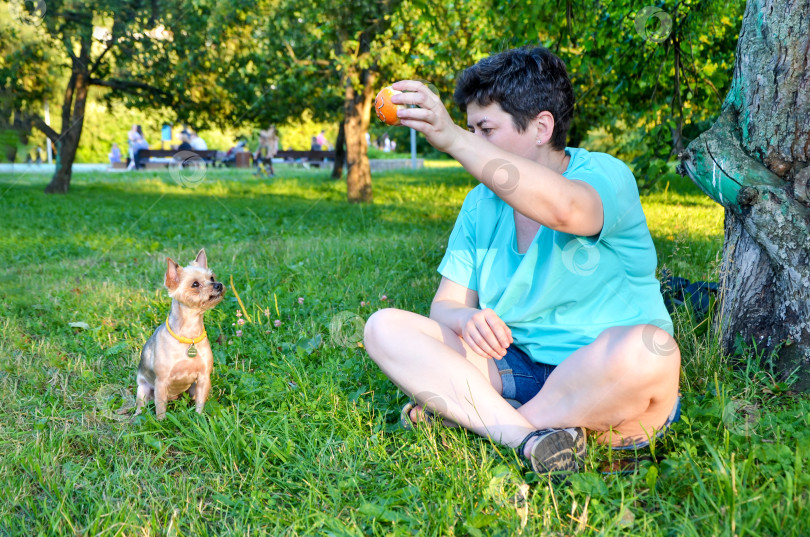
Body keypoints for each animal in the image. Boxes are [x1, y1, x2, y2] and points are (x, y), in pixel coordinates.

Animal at [133, 248, 223, 418]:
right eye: (195, 284)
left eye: (212, 277)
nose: (219, 285)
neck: (189, 335)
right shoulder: (161, 382)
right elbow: (160, 409)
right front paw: (161, 423)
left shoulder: (203, 378)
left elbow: (200, 405)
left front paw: (199, 419)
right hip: (143, 389)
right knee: (141, 405)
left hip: (192, 389)